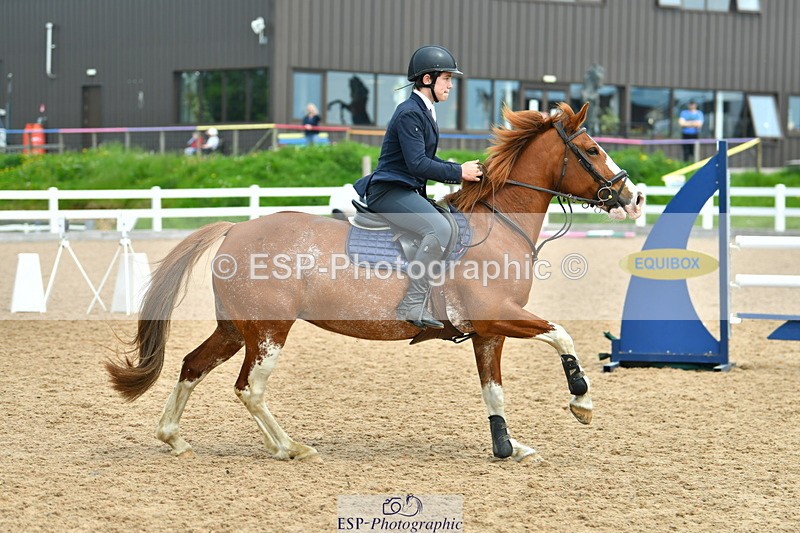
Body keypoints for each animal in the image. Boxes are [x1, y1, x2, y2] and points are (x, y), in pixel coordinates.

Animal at [105, 102, 645, 463]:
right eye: (592, 149)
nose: (634, 198)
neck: (498, 225)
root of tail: (235, 227)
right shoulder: (499, 317)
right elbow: (561, 334)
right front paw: (581, 400)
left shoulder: (489, 332)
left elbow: (493, 392)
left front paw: (507, 447)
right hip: (269, 331)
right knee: (250, 389)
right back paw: (291, 447)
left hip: (237, 328)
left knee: (193, 366)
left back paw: (174, 437)